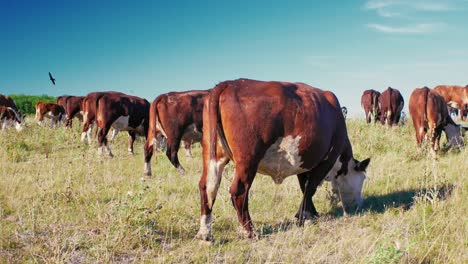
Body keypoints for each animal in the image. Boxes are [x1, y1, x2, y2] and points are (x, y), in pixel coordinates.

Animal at [194, 79, 370, 241]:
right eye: (362, 179)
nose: (360, 204)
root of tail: (228, 84)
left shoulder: (305, 161)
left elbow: (304, 188)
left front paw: (310, 214)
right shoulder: (326, 160)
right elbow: (310, 188)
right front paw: (305, 215)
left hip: (212, 153)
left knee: (207, 186)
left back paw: (205, 233)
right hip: (248, 160)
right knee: (238, 191)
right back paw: (250, 231)